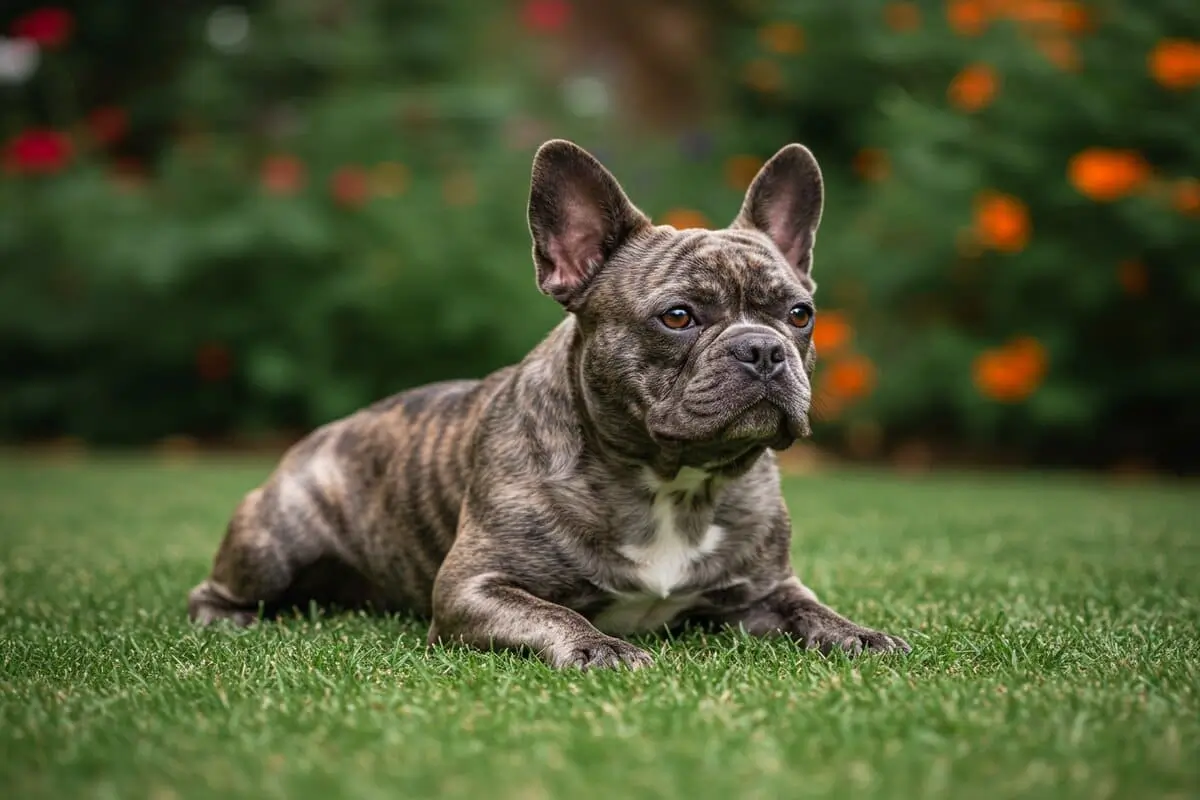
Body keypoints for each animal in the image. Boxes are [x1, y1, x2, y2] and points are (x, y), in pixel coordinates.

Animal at [187, 139, 907, 671]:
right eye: (678, 316)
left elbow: (812, 610)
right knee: (215, 591)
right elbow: (552, 612)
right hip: (273, 542)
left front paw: (860, 632)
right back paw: (228, 620)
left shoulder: (766, 589)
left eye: (800, 314)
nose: (762, 349)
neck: (672, 483)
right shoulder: (474, 587)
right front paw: (600, 647)